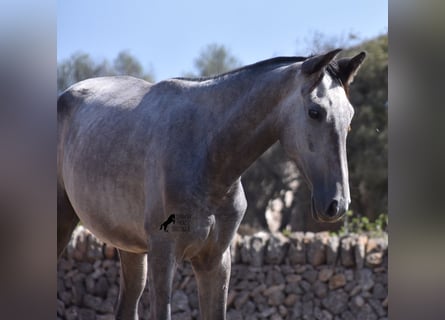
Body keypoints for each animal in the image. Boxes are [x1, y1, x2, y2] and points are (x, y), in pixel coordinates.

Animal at [57, 48, 366, 318]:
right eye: (315, 112)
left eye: (350, 117)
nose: (337, 204)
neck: (206, 154)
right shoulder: (163, 258)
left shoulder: (215, 261)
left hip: (130, 249)